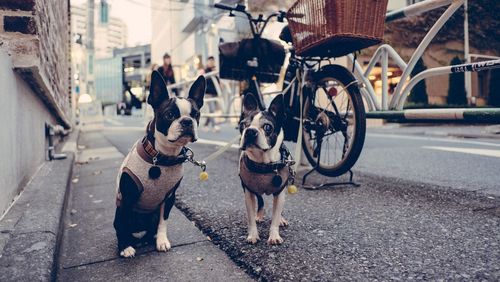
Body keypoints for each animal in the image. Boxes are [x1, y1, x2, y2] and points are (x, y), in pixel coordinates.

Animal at [113, 71, 205, 258]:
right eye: (169, 115)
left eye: (196, 114)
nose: (187, 121)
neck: (162, 157)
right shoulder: (127, 197)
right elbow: (123, 225)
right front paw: (125, 247)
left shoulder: (169, 198)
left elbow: (163, 222)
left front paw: (162, 241)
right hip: (120, 210)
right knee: (121, 225)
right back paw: (129, 242)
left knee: (151, 228)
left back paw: (150, 237)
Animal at [238, 94, 290, 245]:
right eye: (243, 125)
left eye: (267, 127)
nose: (250, 131)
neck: (264, 163)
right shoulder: (248, 192)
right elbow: (250, 217)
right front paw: (253, 235)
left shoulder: (280, 192)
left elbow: (275, 216)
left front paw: (274, 236)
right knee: (260, 201)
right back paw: (259, 215)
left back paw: (281, 220)